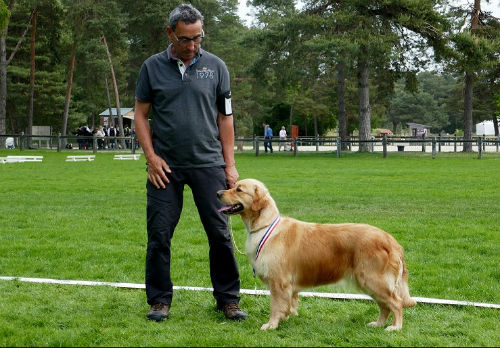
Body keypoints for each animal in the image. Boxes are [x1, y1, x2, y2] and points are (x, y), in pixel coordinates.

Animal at [217, 179, 416, 332]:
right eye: (233, 186)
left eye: (239, 189)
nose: (218, 193)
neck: (265, 227)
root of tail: (391, 240)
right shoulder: (288, 286)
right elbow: (288, 305)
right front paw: (284, 319)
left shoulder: (278, 282)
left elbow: (275, 306)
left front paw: (271, 325)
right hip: (368, 282)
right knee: (385, 306)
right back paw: (378, 324)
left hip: (373, 279)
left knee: (396, 302)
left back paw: (395, 327)